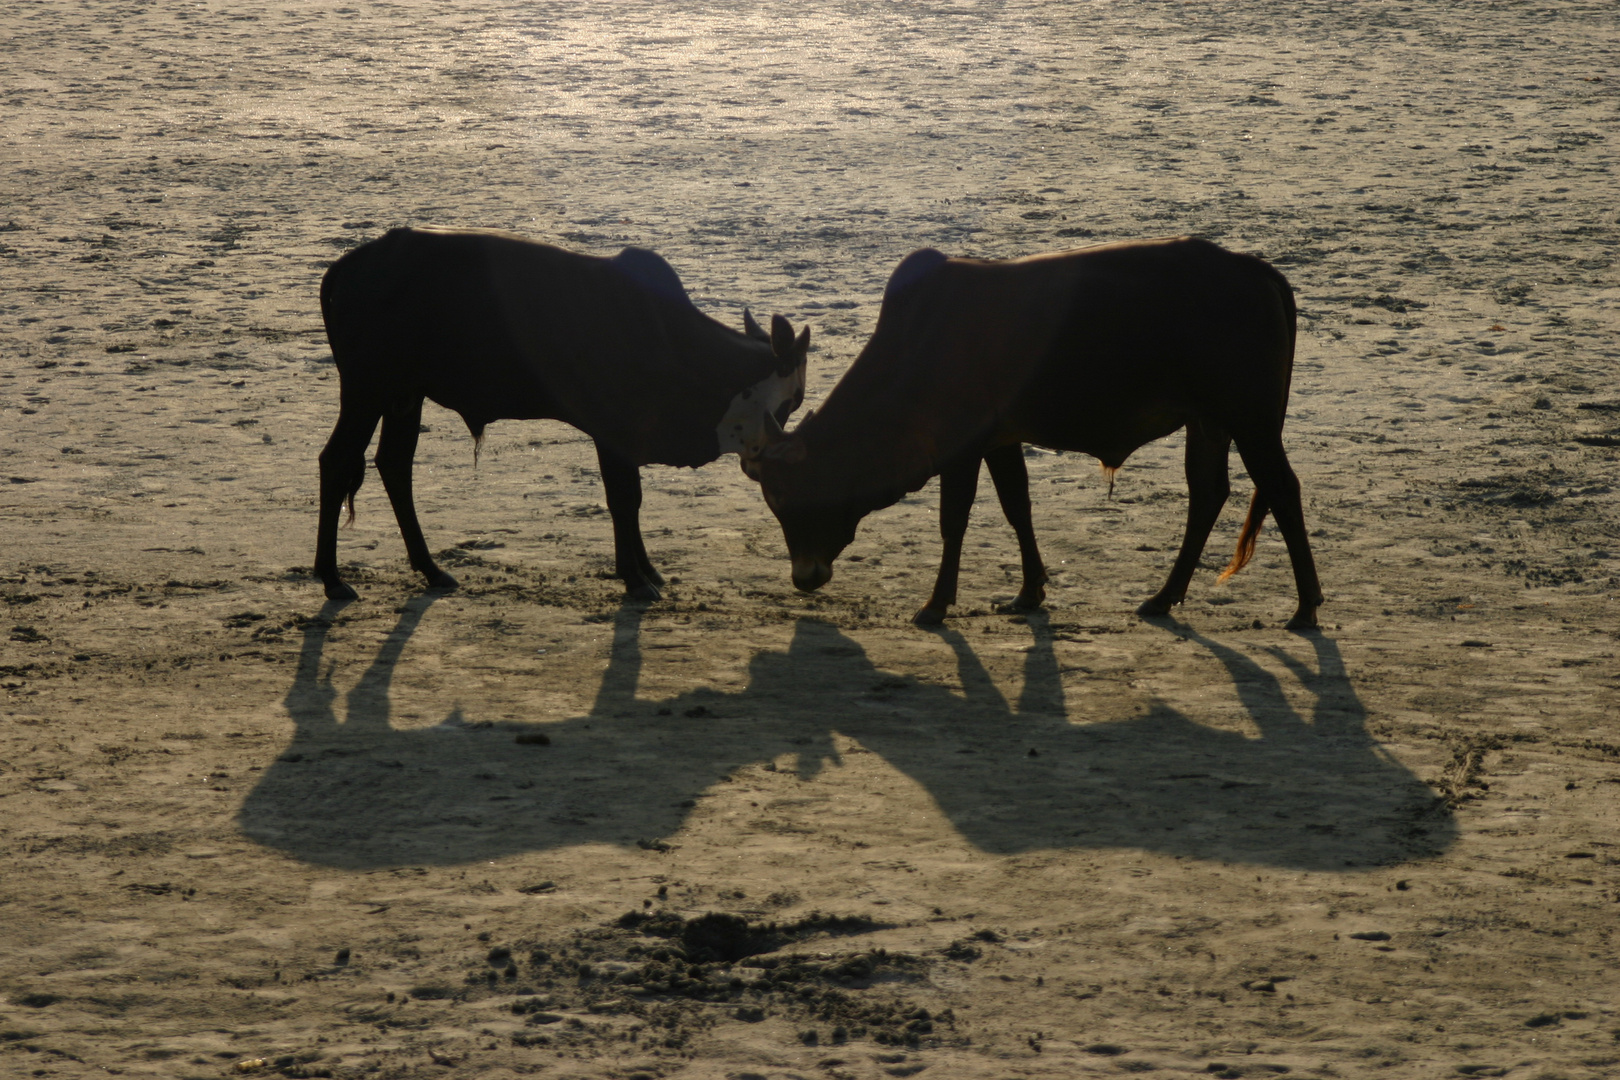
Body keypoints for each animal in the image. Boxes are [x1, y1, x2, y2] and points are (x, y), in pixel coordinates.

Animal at [315, 228, 810, 605]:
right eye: (790, 401)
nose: (764, 463)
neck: (671, 340)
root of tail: (353, 264)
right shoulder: (611, 430)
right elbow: (623, 499)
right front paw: (635, 578)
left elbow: (632, 500)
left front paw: (646, 568)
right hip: (365, 388)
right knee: (337, 461)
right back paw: (333, 579)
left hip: (403, 394)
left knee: (395, 465)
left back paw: (431, 569)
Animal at [741, 236, 1321, 625]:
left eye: (788, 499)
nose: (804, 577)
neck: (914, 348)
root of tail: (1253, 269)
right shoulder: (1001, 440)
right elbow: (1017, 506)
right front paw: (1029, 591)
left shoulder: (962, 449)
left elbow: (954, 521)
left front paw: (935, 603)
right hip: (1209, 422)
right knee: (1208, 494)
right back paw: (1163, 596)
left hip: (1252, 421)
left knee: (1282, 490)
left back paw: (1306, 605)